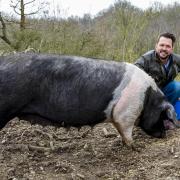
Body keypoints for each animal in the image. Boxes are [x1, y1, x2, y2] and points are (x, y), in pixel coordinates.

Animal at [0, 52, 178, 146]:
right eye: (163, 116)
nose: (164, 135)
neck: (148, 99)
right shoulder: (125, 113)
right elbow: (127, 131)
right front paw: (134, 146)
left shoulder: (117, 116)